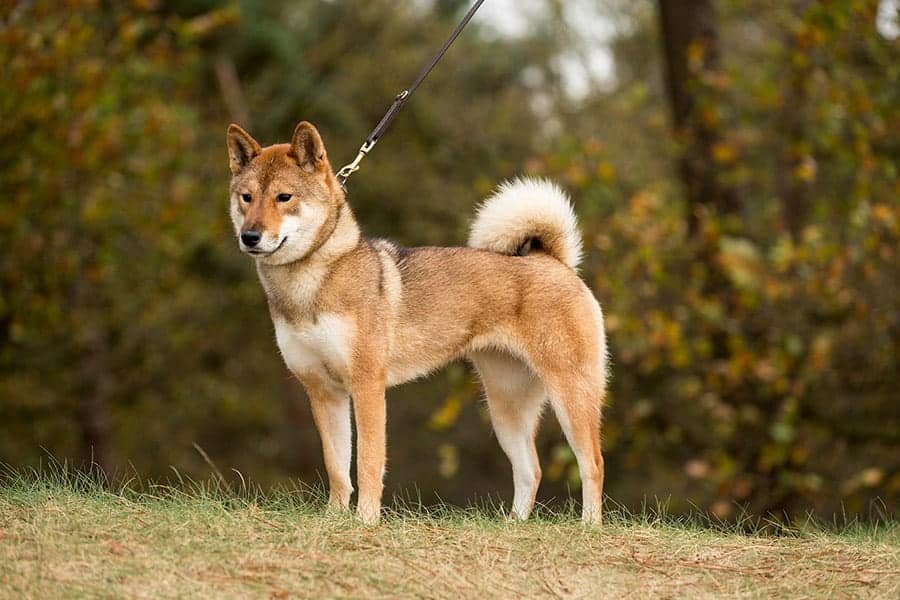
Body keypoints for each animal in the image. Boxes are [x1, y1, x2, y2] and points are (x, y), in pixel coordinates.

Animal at [225, 119, 608, 524]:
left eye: (284, 197)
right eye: (246, 197)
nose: (249, 236)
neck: (311, 284)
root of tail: (555, 261)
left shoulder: (367, 386)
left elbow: (368, 462)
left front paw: (365, 521)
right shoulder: (323, 391)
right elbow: (337, 466)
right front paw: (334, 519)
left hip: (571, 394)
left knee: (592, 463)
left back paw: (589, 526)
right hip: (506, 404)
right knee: (529, 470)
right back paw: (513, 525)